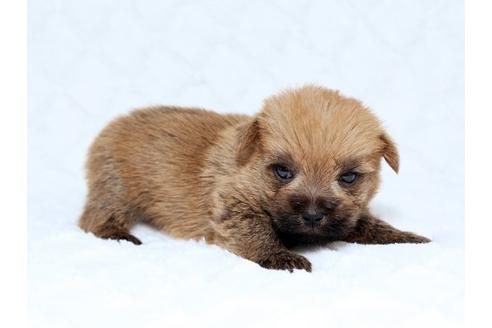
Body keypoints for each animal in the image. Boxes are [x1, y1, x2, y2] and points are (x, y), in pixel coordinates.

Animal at [79, 84, 428, 272]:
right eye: (283, 171)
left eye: (349, 177)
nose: (313, 215)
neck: (250, 168)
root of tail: (115, 124)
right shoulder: (233, 208)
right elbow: (259, 233)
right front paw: (282, 256)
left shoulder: (351, 213)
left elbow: (370, 224)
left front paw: (407, 238)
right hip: (114, 186)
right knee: (94, 217)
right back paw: (118, 235)